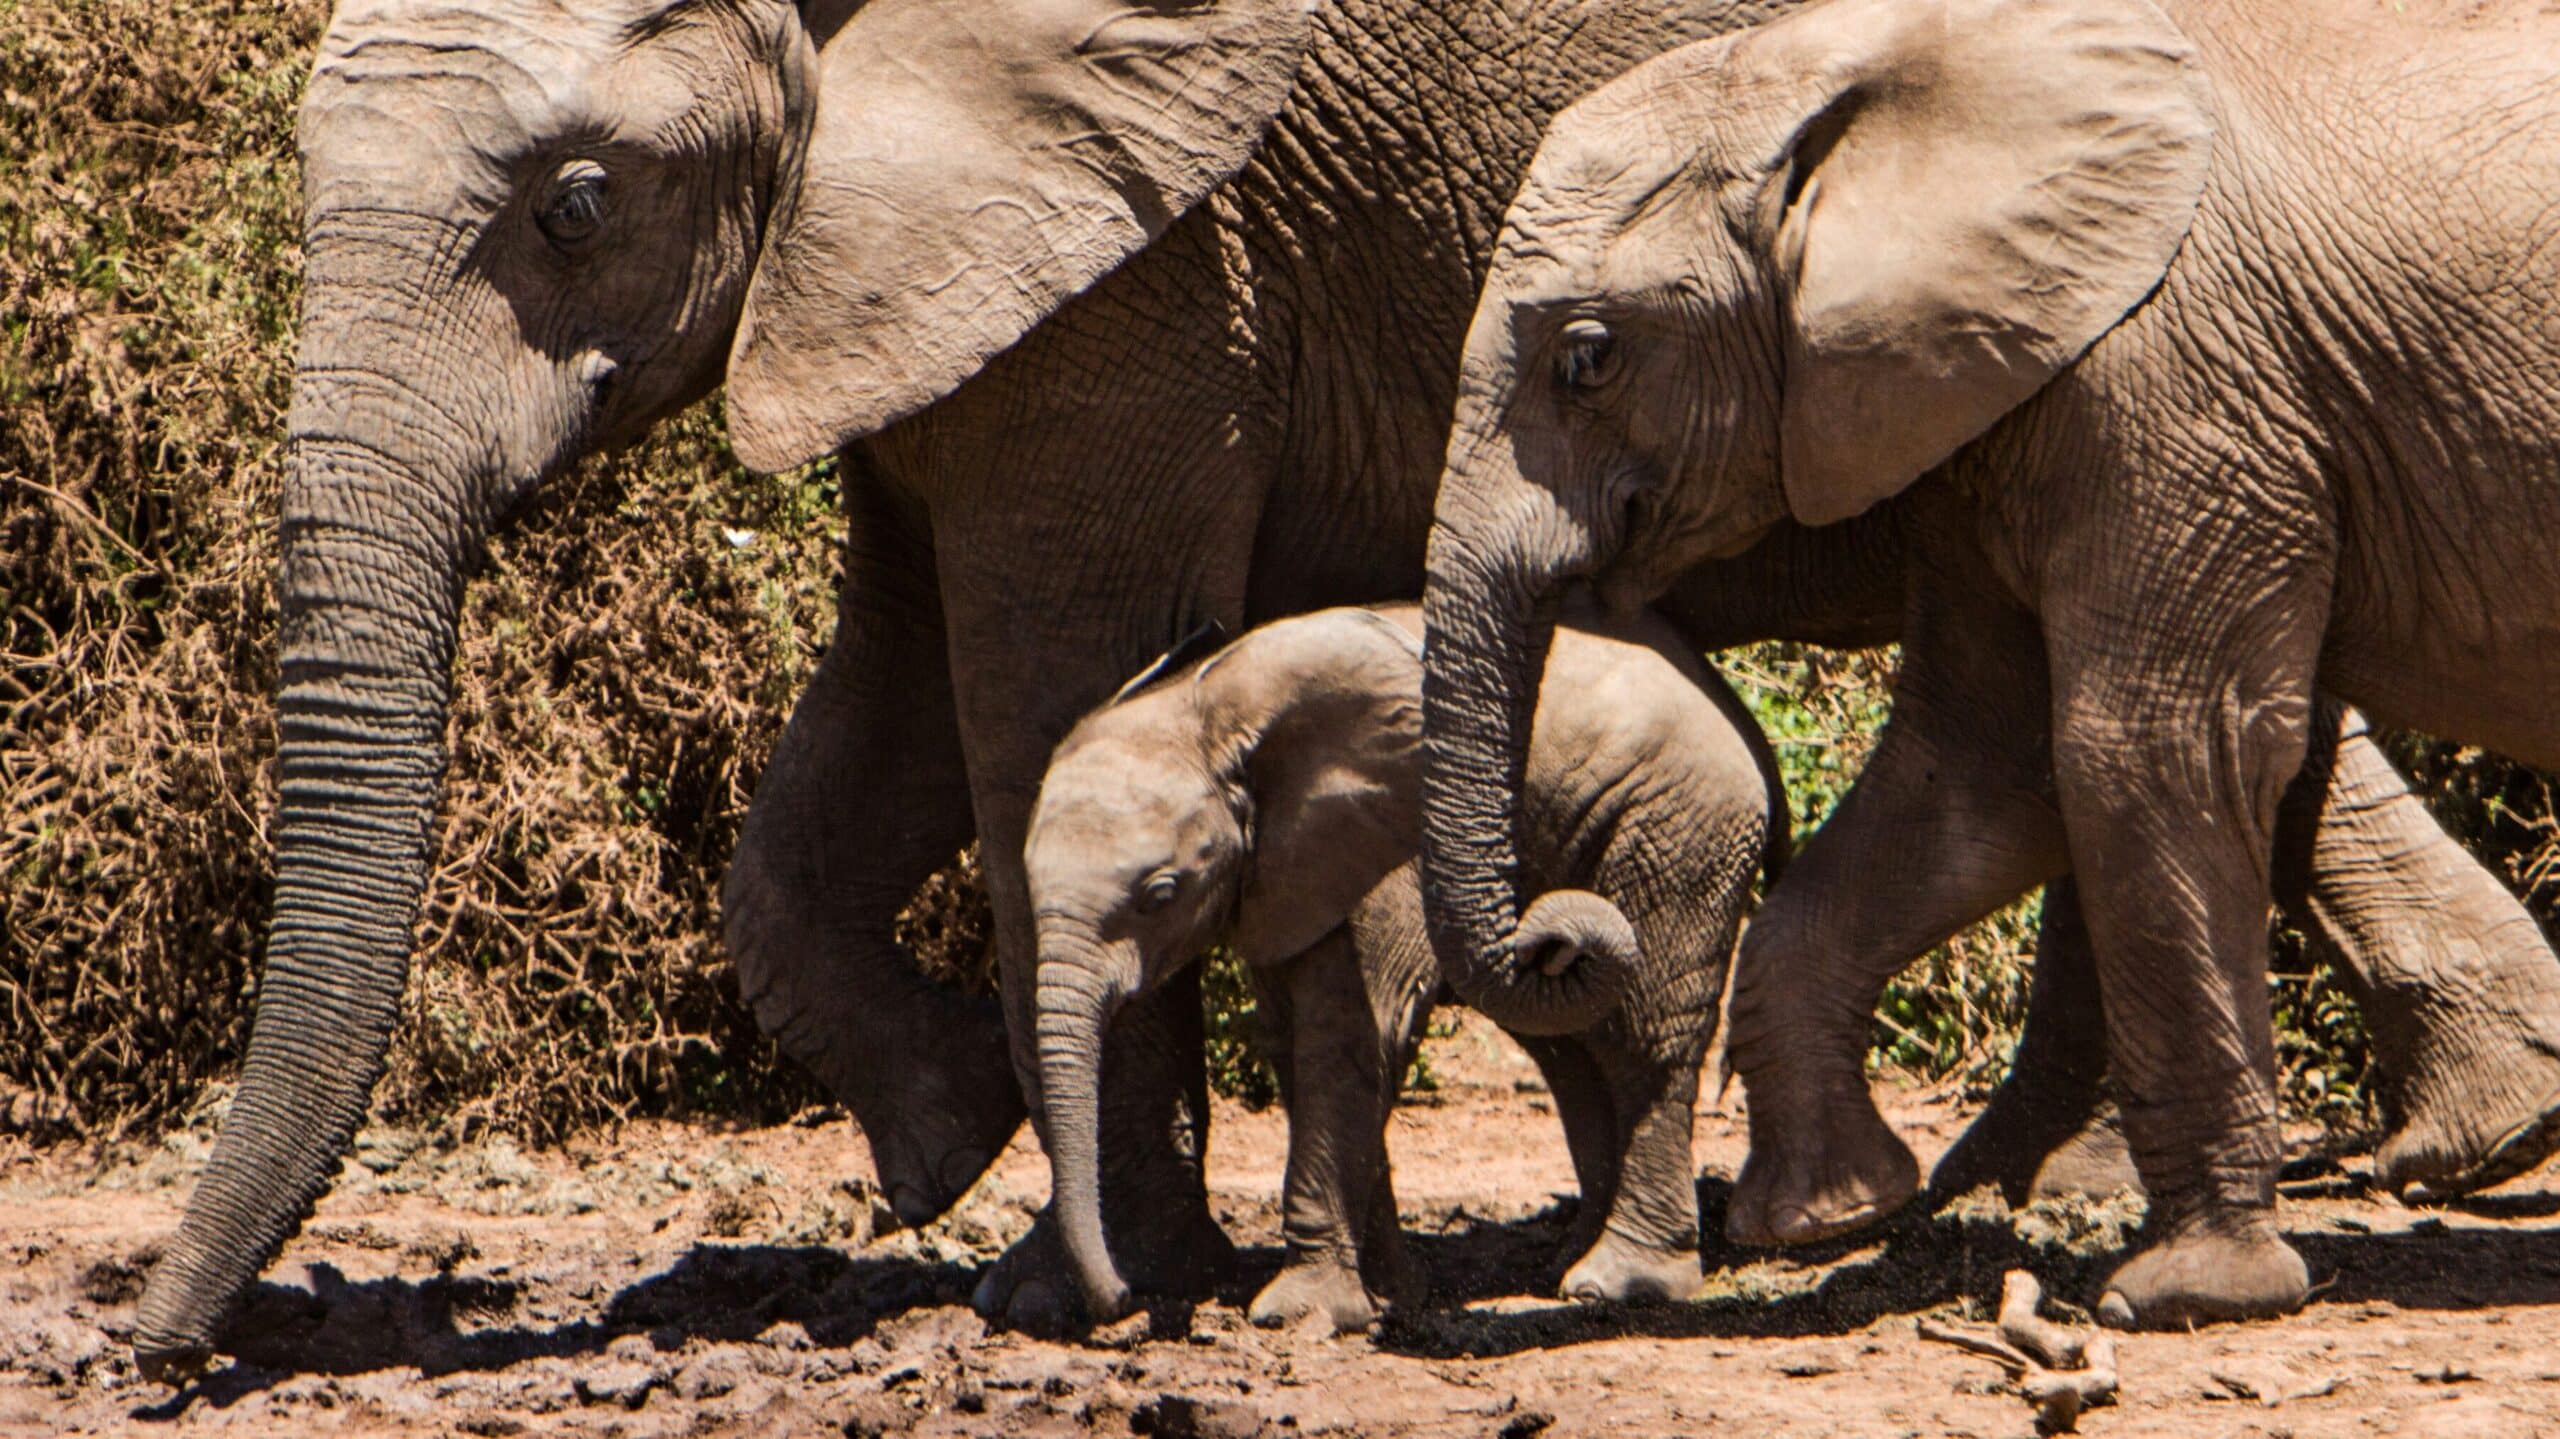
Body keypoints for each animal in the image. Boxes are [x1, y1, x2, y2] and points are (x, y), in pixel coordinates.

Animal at [1018, 599, 1781, 1331]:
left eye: (1160, 894)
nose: (1124, 1302)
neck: (1203, 711)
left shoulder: (1386, 850)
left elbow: (1349, 1037)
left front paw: (1305, 1313)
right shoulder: (1281, 872)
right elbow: (1299, 1044)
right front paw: (1392, 1296)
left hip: (1680, 825)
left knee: (1642, 1037)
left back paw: (1617, 1282)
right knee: (1572, 1048)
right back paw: (1567, 1264)